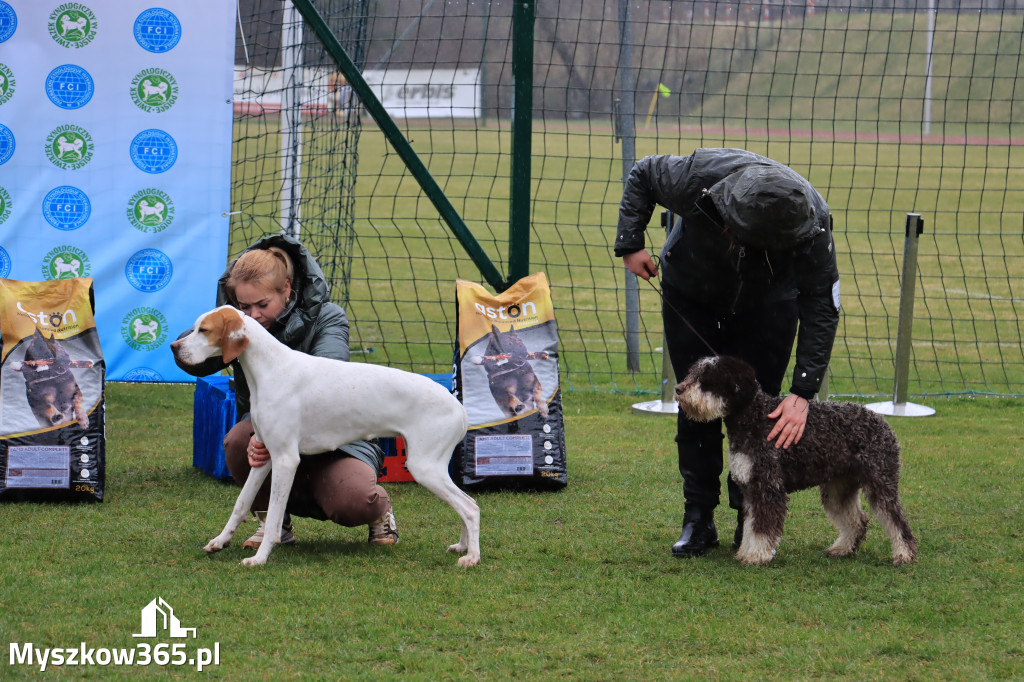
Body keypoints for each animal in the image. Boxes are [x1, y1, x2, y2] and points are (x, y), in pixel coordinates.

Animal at [172, 305, 479, 565]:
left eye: (204, 330)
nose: (174, 347)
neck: (271, 368)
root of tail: (458, 406)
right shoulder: (265, 456)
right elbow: (242, 503)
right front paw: (220, 541)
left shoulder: (286, 460)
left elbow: (274, 516)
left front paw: (260, 558)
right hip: (433, 468)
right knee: (468, 504)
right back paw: (463, 546)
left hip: (425, 467)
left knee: (470, 508)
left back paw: (472, 557)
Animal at [671, 352, 921, 565]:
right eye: (693, 373)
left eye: (707, 379)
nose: (678, 388)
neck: (755, 418)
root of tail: (883, 423)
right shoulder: (751, 490)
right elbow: (751, 526)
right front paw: (746, 551)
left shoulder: (768, 488)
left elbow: (761, 529)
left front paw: (756, 555)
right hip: (839, 488)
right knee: (857, 520)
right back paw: (842, 549)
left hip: (880, 482)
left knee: (896, 520)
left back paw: (904, 554)